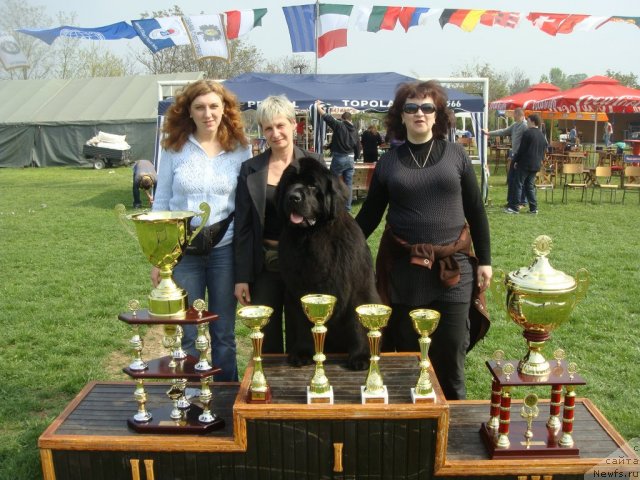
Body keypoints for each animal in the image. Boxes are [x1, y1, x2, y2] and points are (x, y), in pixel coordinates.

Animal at [276, 158, 380, 372]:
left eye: (312, 185)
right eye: (290, 183)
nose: (293, 197)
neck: (313, 236)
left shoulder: (357, 288)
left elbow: (357, 323)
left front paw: (361, 356)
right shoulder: (297, 292)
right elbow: (302, 324)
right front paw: (302, 353)